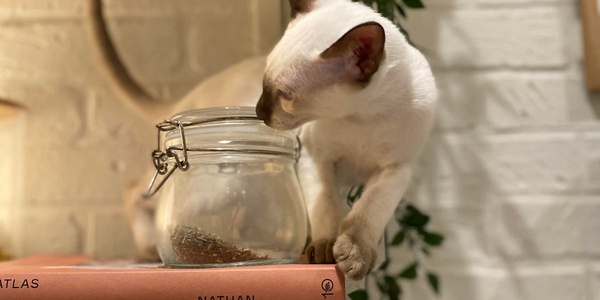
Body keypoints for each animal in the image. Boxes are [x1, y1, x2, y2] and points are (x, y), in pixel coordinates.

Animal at [88, 0, 436, 280]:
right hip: (219, 185)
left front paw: (353, 256)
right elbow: (326, 208)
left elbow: (366, 214)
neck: (362, 116)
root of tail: (195, 92)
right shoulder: (316, 159)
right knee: (136, 188)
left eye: (288, 96)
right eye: (265, 84)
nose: (258, 111)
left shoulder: (395, 170)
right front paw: (325, 250)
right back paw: (149, 248)